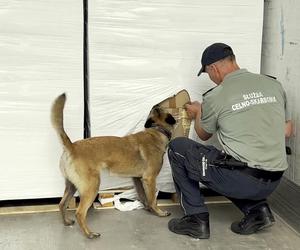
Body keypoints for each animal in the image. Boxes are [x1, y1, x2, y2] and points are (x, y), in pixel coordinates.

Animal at [50, 94, 177, 238]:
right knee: (80, 213)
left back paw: (66, 222)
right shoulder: (150, 179)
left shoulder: (137, 179)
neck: (156, 130)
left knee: (62, 204)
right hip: (91, 186)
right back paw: (89, 234)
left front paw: (148, 209)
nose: (156, 104)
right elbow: (152, 199)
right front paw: (159, 212)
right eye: (160, 108)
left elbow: (144, 196)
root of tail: (72, 146)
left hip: (71, 185)